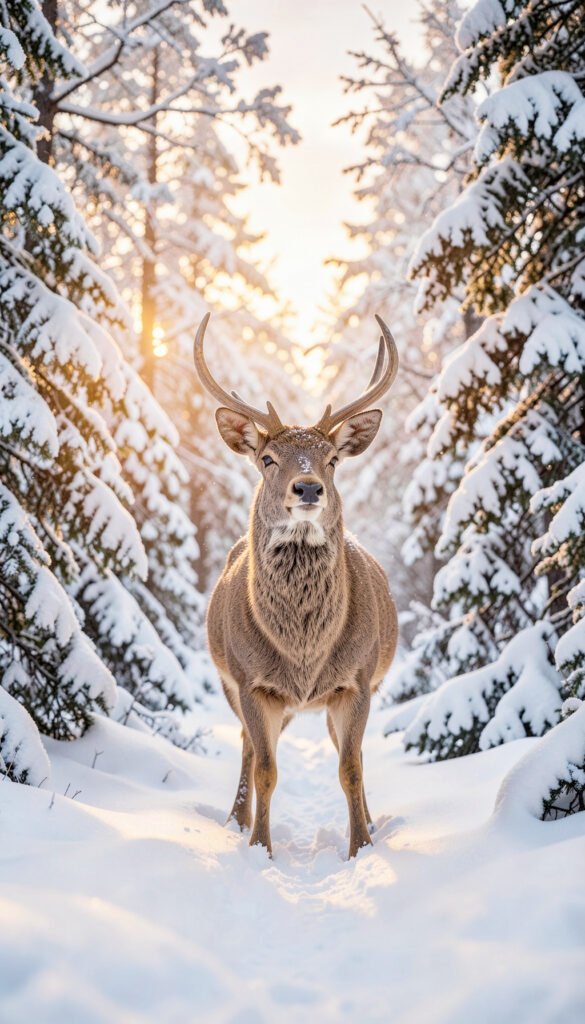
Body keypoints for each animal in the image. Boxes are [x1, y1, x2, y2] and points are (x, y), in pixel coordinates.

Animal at [193, 313, 399, 859]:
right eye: (267, 457)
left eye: (333, 458)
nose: (307, 487)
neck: (304, 650)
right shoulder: (251, 681)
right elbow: (267, 770)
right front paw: (260, 847)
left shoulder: (358, 680)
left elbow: (351, 768)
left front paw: (361, 846)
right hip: (235, 684)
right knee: (248, 746)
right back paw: (236, 819)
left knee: (348, 752)